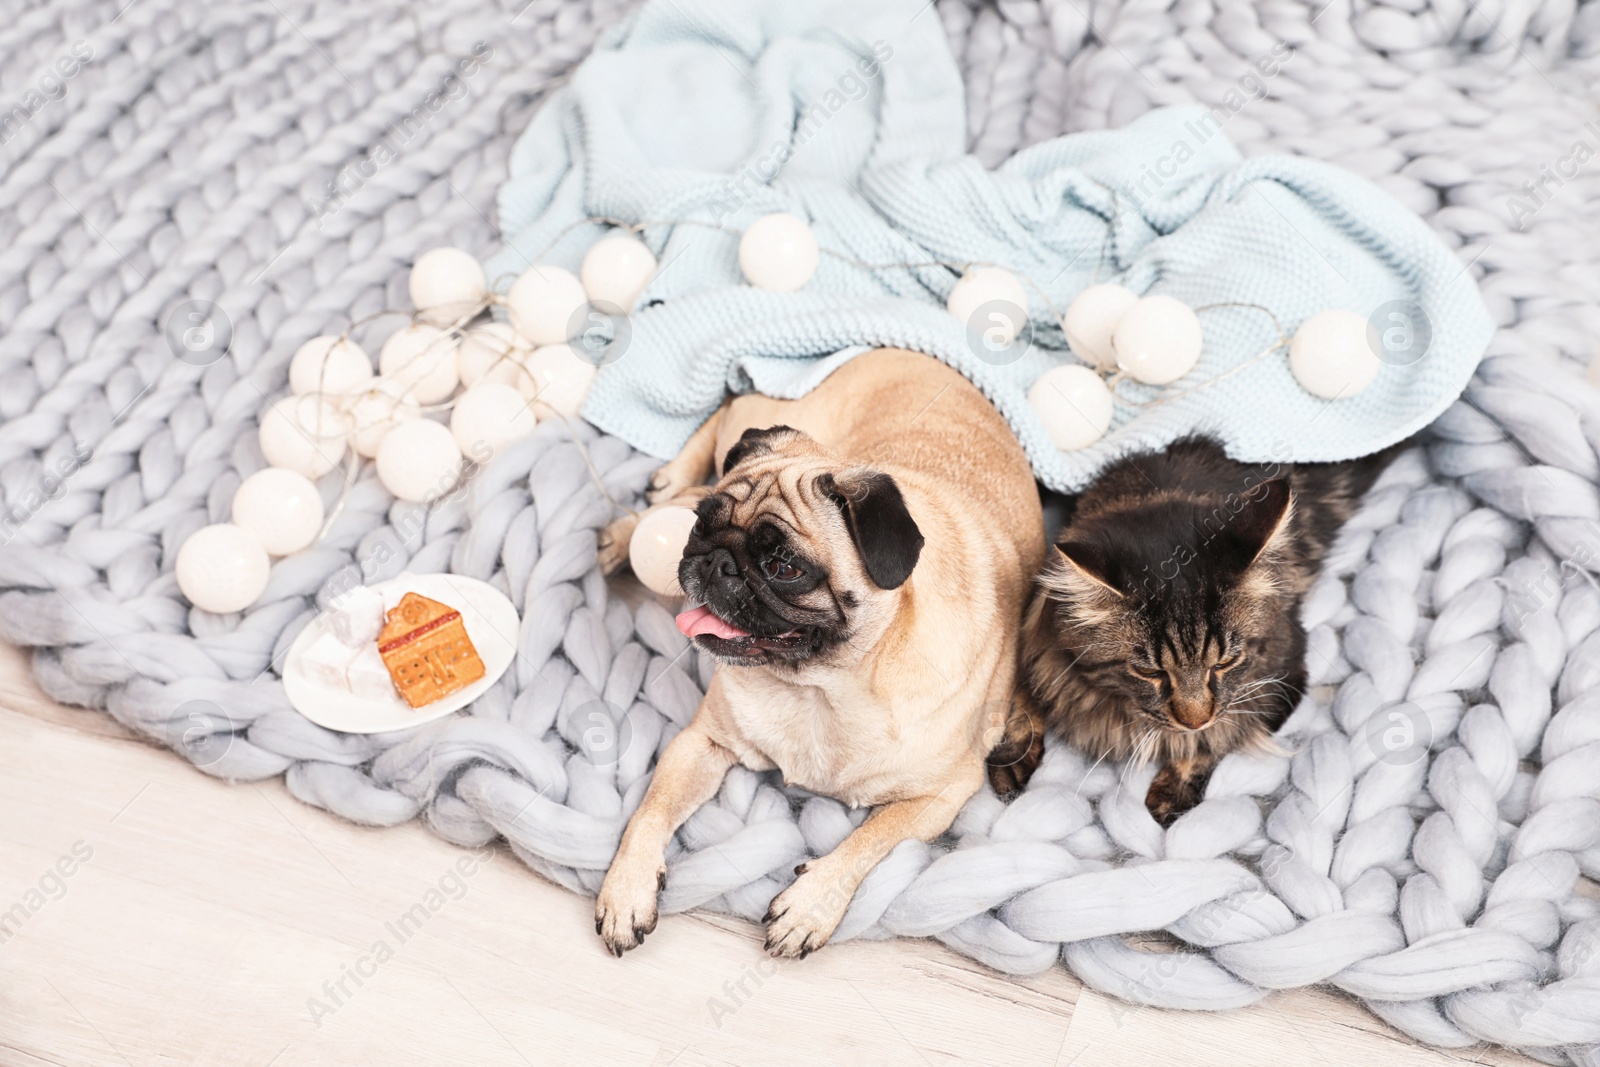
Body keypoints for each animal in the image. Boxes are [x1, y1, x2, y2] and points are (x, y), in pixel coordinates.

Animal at [595, 348, 1043, 959]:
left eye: (785, 567)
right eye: (701, 529)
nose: (715, 561)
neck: (822, 686)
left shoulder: (941, 795)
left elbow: (870, 841)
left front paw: (810, 905)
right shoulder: (702, 742)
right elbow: (650, 811)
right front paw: (626, 890)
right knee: (724, 416)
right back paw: (640, 514)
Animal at [998, 435, 1401, 825]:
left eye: (1225, 663)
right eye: (1149, 672)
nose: (1194, 719)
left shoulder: (1283, 674)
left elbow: (1213, 738)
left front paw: (1172, 792)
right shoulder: (1036, 639)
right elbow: (1021, 695)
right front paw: (1010, 756)